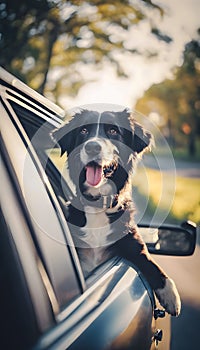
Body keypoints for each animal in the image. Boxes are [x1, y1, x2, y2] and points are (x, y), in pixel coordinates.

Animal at [51, 108, 181, 316]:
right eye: (84, 131)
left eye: (113, 131)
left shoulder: (134, 244)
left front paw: (171, 295)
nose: (92, 147)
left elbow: (152, 263)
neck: (98, 205)